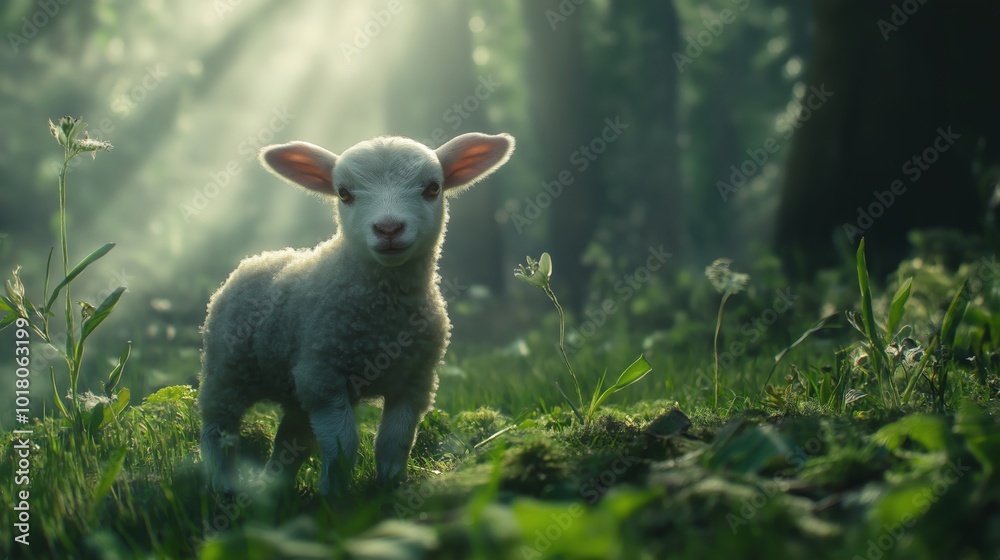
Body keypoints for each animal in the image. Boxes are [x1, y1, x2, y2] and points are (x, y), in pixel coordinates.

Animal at [198, 132, 515, 497]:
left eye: (433, 188)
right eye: (344, 193)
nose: (389, 228)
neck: (383, 314)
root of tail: (261, 257)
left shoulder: (415, 382)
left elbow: (394, 441)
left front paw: (390, 485)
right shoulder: (324, 377)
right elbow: (343, 445)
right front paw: (333, 495)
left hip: (295, 390)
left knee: (291, 439)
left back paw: (276, 486)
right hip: (227, 370)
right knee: (218, 430)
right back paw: (223, 486)